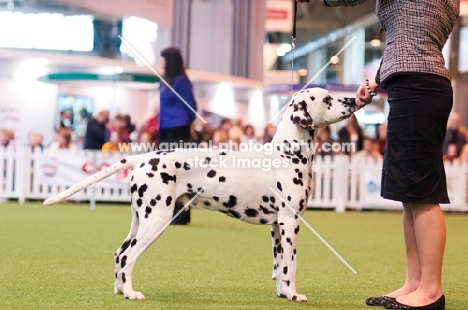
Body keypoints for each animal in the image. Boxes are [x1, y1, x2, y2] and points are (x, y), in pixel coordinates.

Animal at [44, 87, 358, 302]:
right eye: (327, 99)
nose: (353, 100)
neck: (287, 152)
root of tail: (143, 158)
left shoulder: (276, 228)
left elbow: (279, 266)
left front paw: (282, 294)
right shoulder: (290, 223)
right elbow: (291, 267)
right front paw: (294, 296)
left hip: (139, 220)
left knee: (120, 254)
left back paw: (121, 291)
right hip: (156, 220)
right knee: (129, 257)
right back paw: (132, 293)